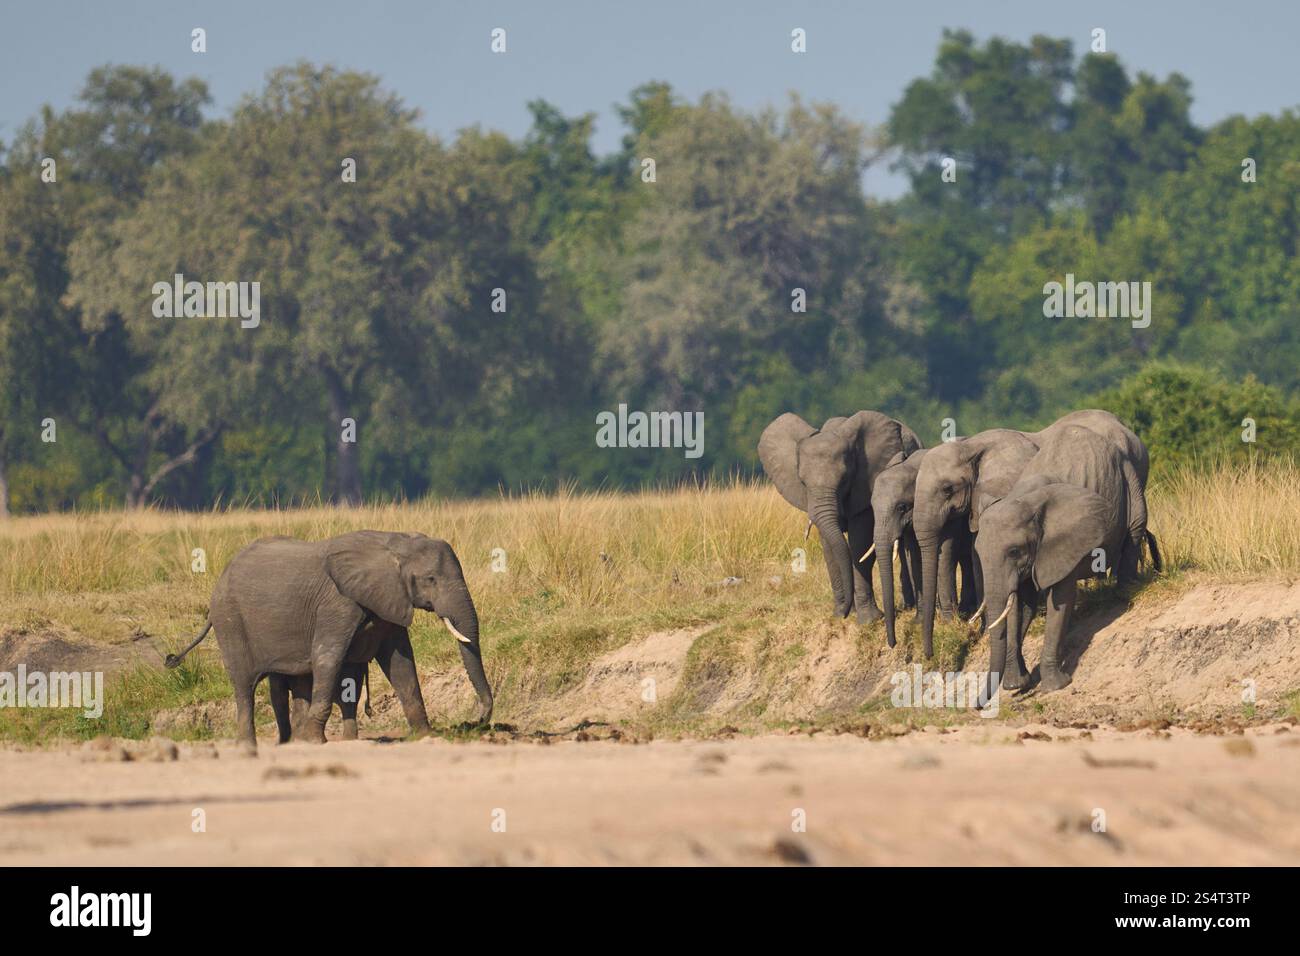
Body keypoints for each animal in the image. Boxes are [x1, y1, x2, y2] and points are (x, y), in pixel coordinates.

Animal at [165, 531, 492, 748]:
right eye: (430, 580)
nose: (476, 718)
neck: (394, 544)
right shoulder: (337, 604)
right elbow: (328, 658)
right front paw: (312, 740)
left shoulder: (389, 599)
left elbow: (401, 664)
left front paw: (425, 735)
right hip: (230, 621)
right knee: (244, 684)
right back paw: (250, 747)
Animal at [759, 411, 922, 622]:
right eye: (802, 482)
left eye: (844, 479)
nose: (844, 612)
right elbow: (829, 546)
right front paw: (840, 614)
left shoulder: (864, 485)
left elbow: (859, 542)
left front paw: (869, 620)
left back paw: (908, 606)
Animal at [869, 447, 976, 648]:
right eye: (871, 508)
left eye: (902, 507)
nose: (893, 643)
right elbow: (914, 558)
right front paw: (918, 622)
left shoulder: (947, 508)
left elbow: (945, 553)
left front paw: (949, 624)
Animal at [974, 424, 1160, 695]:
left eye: (1014, 551)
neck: (1027, 499)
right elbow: (1022, 604)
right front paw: (1016, 685)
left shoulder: (1064, 542)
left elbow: (1060, 600)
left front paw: (1056, 686)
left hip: (1129, 475)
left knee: (1136, 525)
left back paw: (1125, 591)